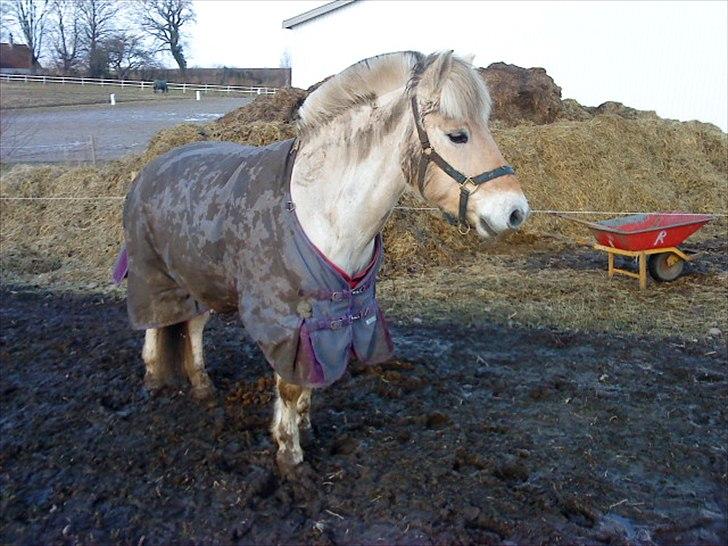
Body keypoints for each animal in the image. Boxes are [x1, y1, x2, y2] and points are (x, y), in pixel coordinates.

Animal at [115, 49, 528, 470]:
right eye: (457, 135)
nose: (515, 211)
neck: (321, 208)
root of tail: (148, 170)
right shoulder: (284, 318)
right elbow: (289, 385)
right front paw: (289, 454)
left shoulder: (331, 315)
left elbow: (311, 378)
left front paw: (305, 427)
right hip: (153, 274)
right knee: (155, 324)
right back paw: (153, 383)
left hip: (198, 279)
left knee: (193, 326)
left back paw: (202, 387)